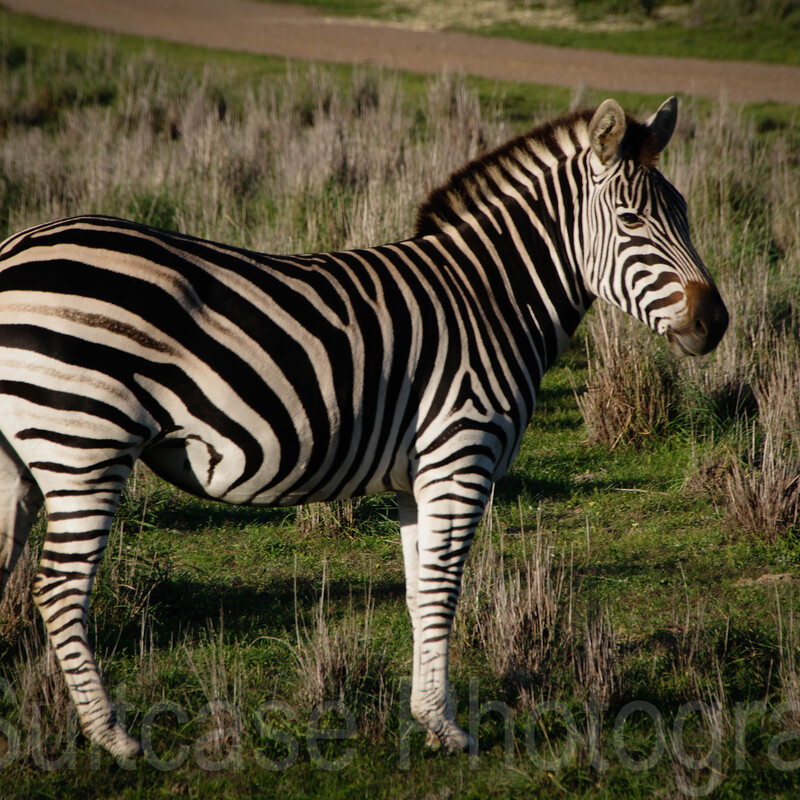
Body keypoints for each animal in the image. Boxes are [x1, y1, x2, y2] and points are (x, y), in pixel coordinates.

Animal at [0, 96, 727, 758]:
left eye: (687, 213)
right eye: (631, 220)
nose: (715, 322)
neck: (492, 300)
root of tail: (16, 248)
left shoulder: (417, 477)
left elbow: (417, 591)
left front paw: (426, 715)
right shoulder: (460, 456)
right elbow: (442, 590)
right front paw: (445, 727)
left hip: (22, 461)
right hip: (85, 442)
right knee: (60, 590)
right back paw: (113, 737)